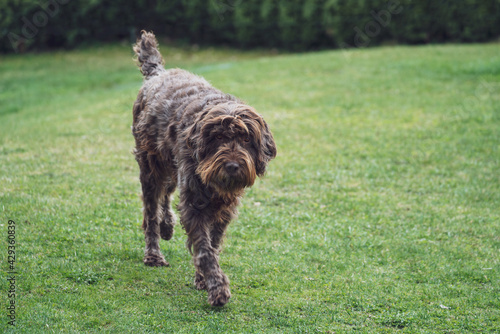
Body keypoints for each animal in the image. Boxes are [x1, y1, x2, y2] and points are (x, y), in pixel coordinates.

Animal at [131, 31, 276, 306]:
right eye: (218, 137)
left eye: (245, 139)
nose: (232, 166)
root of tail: (157, 73)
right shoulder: (194, 202)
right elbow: (204, 248)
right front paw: (216, 288)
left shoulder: (223, 209)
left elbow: (213, 243)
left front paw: (203, 279)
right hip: (150, 165)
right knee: (151, 210)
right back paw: (154, 252)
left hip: (171, 165)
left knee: (166, 193)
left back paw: (167, 226)